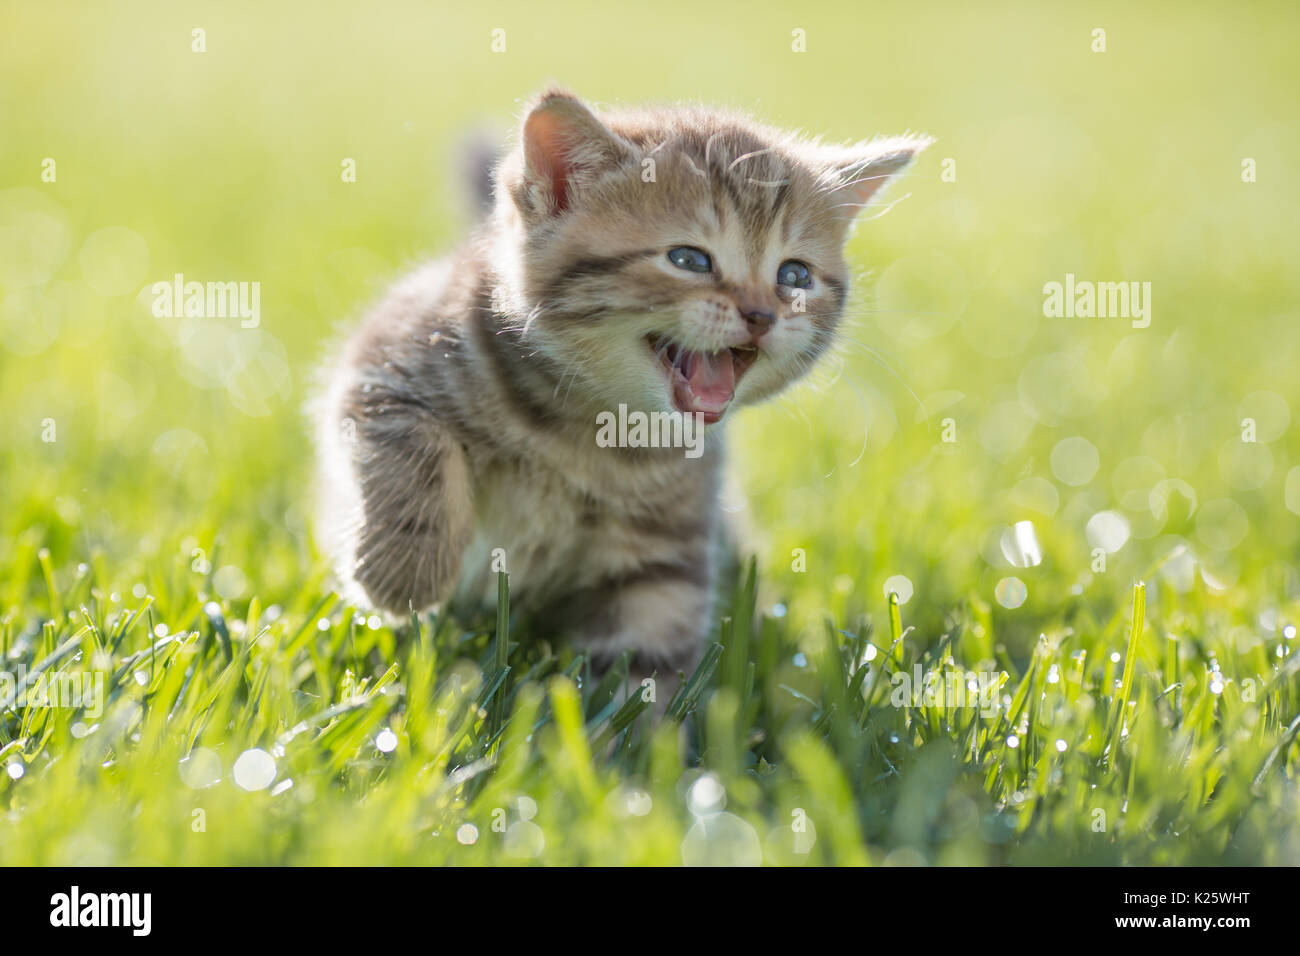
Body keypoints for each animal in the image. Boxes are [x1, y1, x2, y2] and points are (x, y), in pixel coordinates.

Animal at [312, 91, 925, 697]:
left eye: (794, 276)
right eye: (689, 260)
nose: (761, 315)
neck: (595, 433)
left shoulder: (663, 550)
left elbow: (646, 654)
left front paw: (638, 726)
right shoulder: (383, 363)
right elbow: (411, 442)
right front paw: (404, 573)